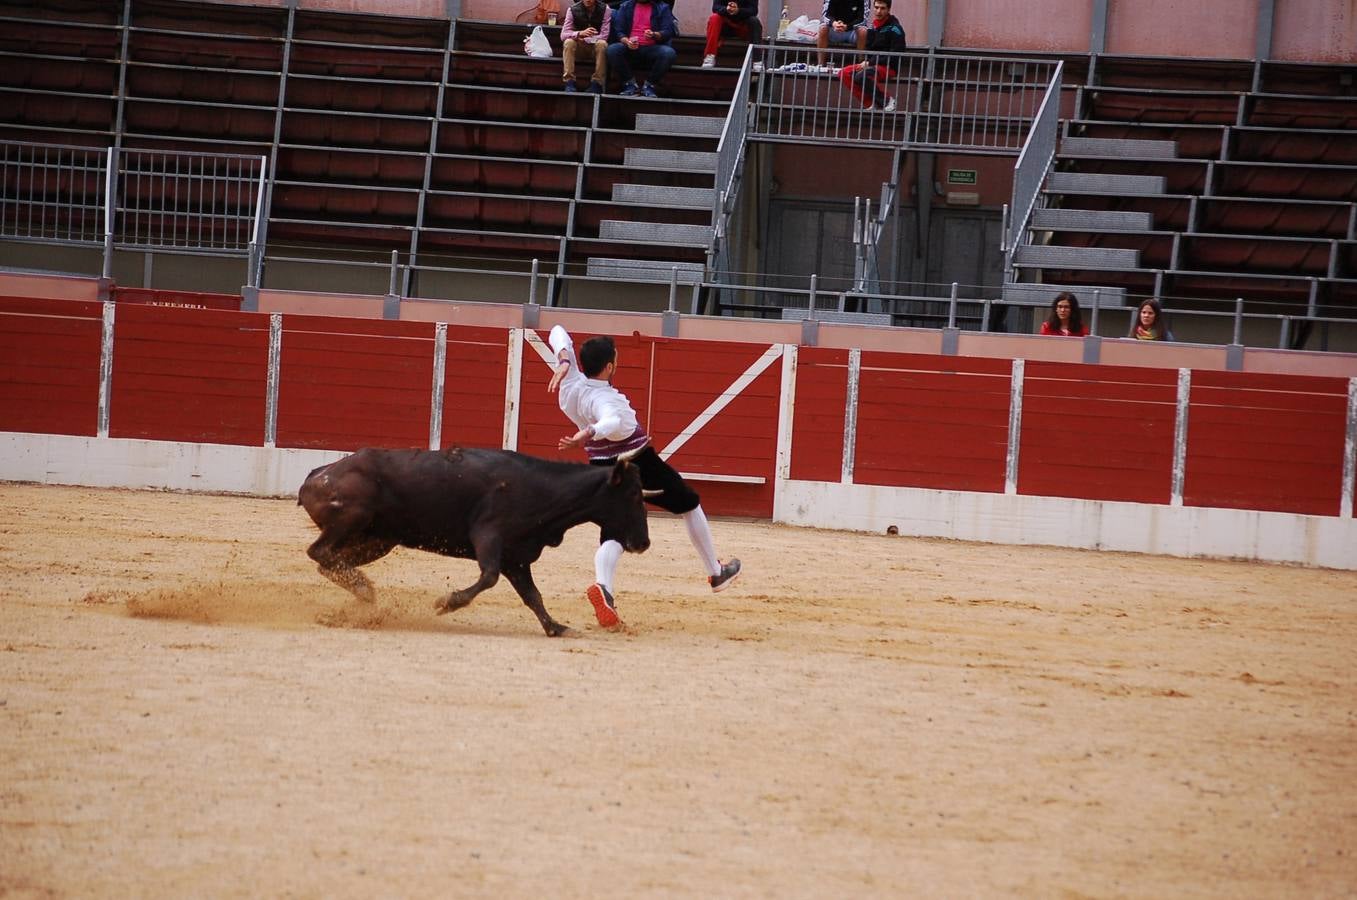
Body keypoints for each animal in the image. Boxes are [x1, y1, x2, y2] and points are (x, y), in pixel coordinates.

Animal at [299, 447, 648, 632]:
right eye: (633, 494)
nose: (643, 542)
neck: (542, 489)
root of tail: (318, 474)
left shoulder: (516, 558)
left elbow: (532, 595)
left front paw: (555, 627)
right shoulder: (489, 536)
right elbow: (489, 577)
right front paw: (446, 603)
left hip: (380, 540)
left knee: (326, 561)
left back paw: (362, 591)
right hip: (354, 519)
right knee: (318, 551)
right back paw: (362, 588)